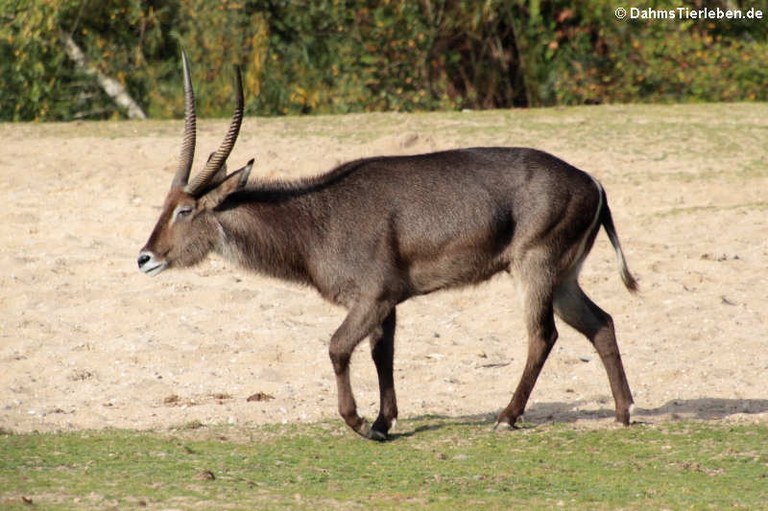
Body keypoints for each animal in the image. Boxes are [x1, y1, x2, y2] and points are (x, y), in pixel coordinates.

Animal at [136, 54, 636, 442]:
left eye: (185, 210)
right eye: (165, 203)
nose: (145, 257)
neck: (316, 219)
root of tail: (594, 183)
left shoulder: (373, 297)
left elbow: (338, 348)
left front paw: (359, 422)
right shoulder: (388, 302)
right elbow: (383, 354)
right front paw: (383, 421)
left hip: (534, 267)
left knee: (543, 336)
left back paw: (507, 417)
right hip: (564, 277)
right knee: (601, 324)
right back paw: (623, 413)